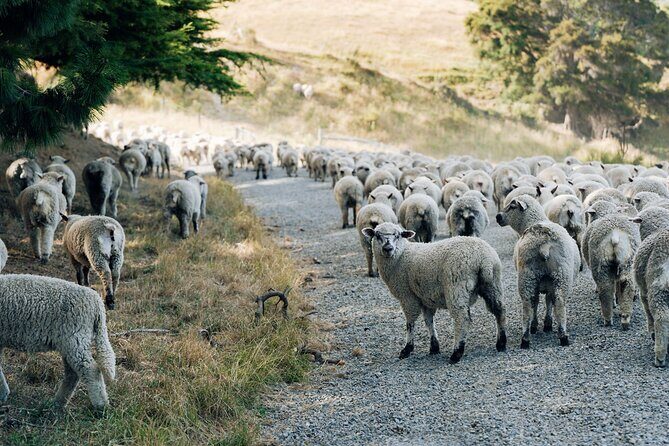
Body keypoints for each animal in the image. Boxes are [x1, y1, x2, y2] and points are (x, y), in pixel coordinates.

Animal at [0, 274, 115, 410]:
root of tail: (97, 303)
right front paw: (3, 394)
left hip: (75, 338)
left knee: (90, 370)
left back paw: (101, 406)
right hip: (69, 343)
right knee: (73, 374)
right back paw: (58, 403)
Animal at [361, 223, 507, 363]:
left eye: (398, 235)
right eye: (377, 235)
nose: (388, 248)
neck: (401, 255)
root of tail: (483, 258)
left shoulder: (407, 296)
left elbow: (410, 322)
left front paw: (407, 349)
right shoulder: (425, 297)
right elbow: (429, 321)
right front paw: (434, 347)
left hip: (456, 286)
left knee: (462, 318)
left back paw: (457, 353)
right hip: (493, 284)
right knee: (499, 310)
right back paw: (501, 343)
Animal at [496, 194, 580, 348]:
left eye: (512, 206)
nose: (498, 217)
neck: (534, 220)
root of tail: (543, 243)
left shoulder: (546, 283)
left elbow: (543, 301)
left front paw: (543, 325)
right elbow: (546, 302)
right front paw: (545, 324)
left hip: (529, 276)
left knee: (528, 305)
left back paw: (526, 338)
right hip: (560, 276)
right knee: (557, 303)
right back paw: (562, 336)